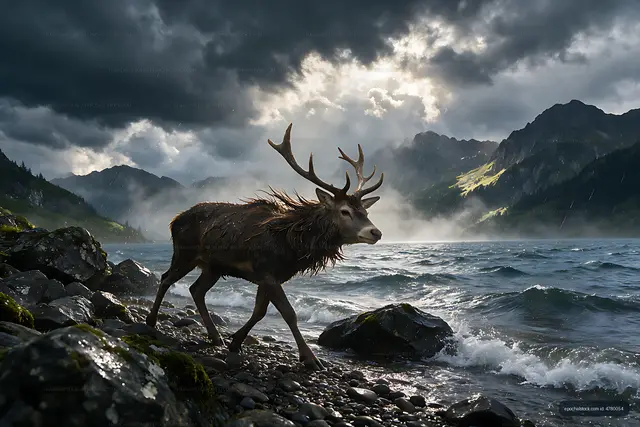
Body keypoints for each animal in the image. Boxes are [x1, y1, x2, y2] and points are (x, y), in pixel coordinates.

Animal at [145, 123, 384, 370]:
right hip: (184, 253)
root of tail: (173, 221)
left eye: (365, 212)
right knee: (166, 278)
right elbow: (289, 313)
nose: (375, 232)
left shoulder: (271, 276)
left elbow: (259, 312)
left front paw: (235, 342)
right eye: (345, 211)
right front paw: (310, 358)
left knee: (196, 290)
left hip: (213, 266)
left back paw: (216, 336)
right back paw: (151, 321)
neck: (292, 245)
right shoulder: (267, 272)